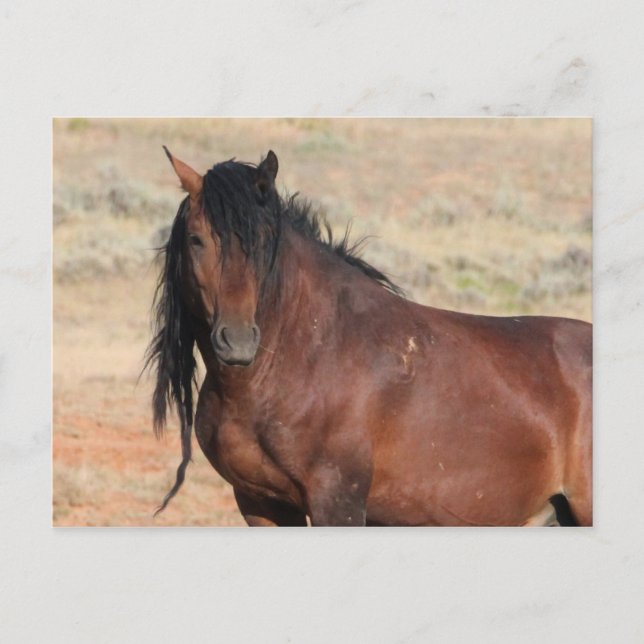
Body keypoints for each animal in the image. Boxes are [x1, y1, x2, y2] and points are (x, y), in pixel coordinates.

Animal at [146, 148, 592, 527]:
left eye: (265, 240)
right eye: (196, 239)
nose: (237, 342)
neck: (306, 354)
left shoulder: (338, 501)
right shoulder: (260, 503)